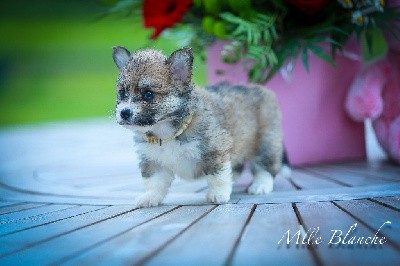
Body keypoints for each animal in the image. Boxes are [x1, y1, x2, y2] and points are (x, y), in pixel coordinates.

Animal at [112, 46, 284, 207]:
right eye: (122, 93)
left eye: (148, 94)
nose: (124, 112)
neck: (166, 132)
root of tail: (261, 89)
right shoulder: (153, 161)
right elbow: (153, 182)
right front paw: (150, 197)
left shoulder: (215, 151)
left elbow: (217, 176)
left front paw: (218, 194)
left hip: (266, 143)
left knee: (265, 167)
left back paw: (260, 185)